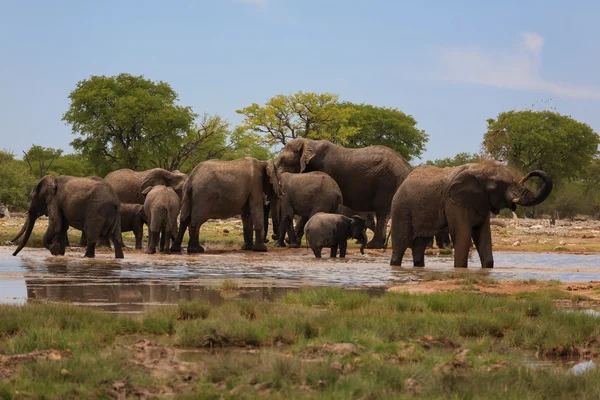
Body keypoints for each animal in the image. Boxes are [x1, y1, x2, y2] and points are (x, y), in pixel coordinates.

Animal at [278, 139, 412, 248]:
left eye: (283, 160)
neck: (309, 142)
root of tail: (407, 167)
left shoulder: (325, 169)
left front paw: (291, 241)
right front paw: (291, 241)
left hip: (387, 183)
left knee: (382, 211)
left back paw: (373, 246)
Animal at [390, 162, 552, 268]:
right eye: (498, 186)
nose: (528, 174)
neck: (480, 169)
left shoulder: (482, 203)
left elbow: (484, 236)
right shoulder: (453, 202)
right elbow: (463, 236)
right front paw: (461, 269)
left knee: (419, 246)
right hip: (400, 210)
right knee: (399, 246)